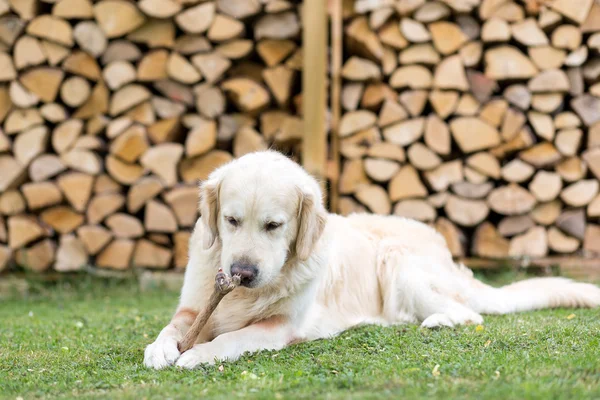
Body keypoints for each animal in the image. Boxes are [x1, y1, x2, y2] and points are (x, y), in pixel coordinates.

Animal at [144, 150, 600, 368]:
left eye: (273, 225)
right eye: (231, 220)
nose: (241, 272)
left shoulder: (282, 326)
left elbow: (232, 338)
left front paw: (200, 354)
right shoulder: (194, 307)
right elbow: (173, 327)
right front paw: (160, 349)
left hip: (398, 262)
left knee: (467, 313)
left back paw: (436, 322)